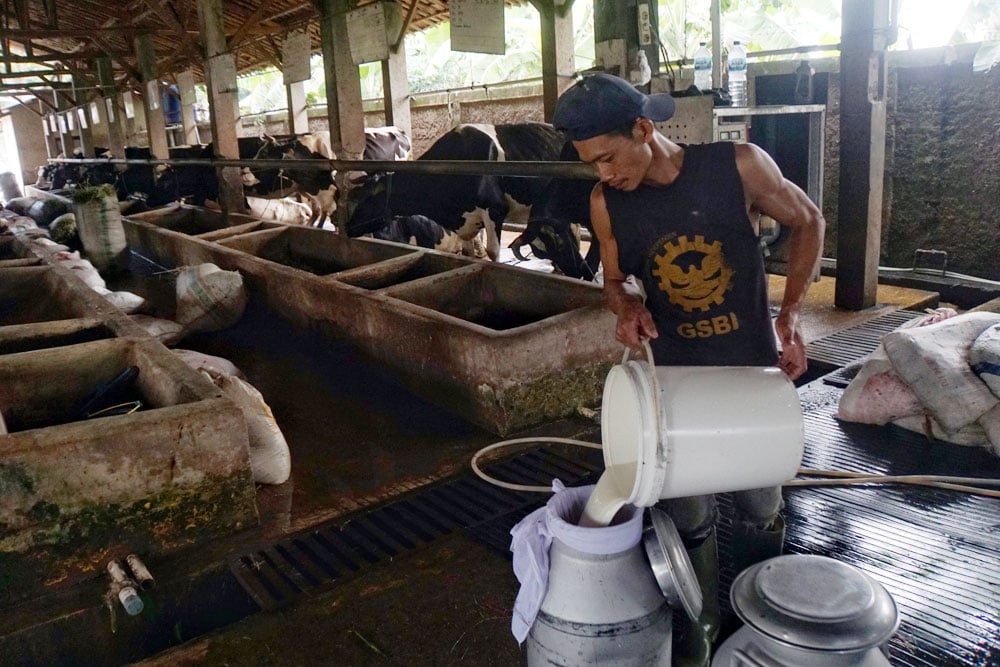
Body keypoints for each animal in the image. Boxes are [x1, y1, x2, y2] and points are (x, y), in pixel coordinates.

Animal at [346, 122, 568, 260]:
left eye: (366, 200)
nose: (347, 228)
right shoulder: (465, 222)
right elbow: (468, 253)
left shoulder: (495, 209)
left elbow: (492, 251)